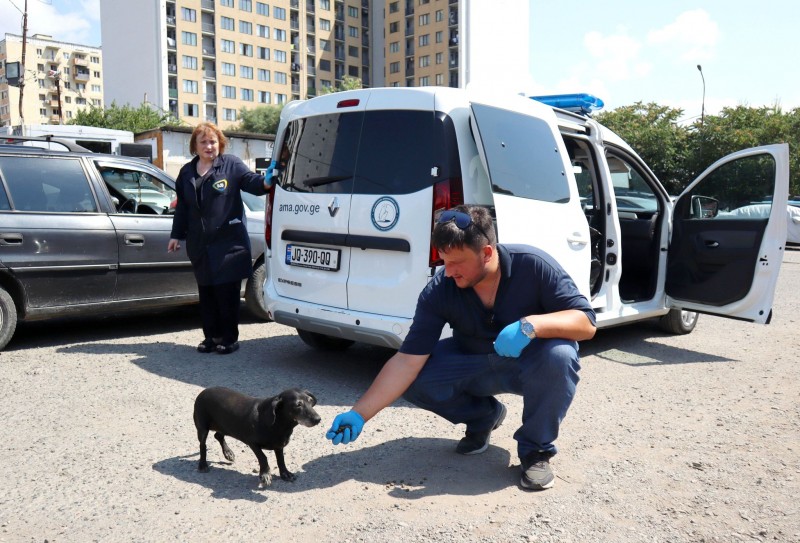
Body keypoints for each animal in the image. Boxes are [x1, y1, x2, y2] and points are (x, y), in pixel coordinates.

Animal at [192, 386, 320, 488]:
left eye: (310, 401)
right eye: (298, 405)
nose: (318, 419)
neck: (278, 424)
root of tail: (204, 391)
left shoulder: (279, 445)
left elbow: (281, 460)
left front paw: (285, 473)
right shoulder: (252, 443)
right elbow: (263, 457)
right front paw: (265, 474)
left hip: (225, 426)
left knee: (218, 435)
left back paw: (228, 453)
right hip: (202, 428)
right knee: (203, 445)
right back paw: (203, 464)